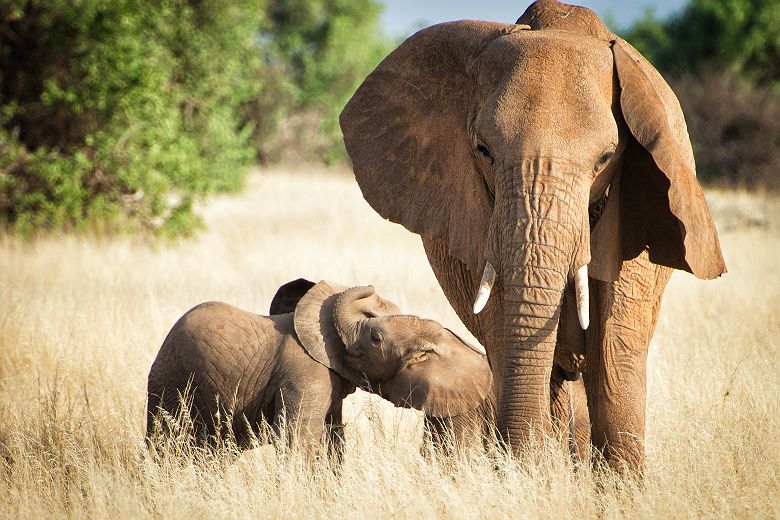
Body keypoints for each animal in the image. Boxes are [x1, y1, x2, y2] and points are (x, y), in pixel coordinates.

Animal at [146, 278, 490, 458]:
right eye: (376, 337)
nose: (370, 287)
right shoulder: (306, 374)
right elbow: (301, 441)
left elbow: (332, 438)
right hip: (169, 380)